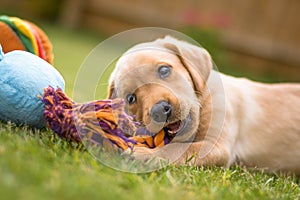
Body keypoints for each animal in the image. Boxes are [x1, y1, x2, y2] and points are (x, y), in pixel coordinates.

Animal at [108, 36, 300, 175]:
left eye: (164, 70)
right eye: (131, 98)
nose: (159, 111)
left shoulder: (217, 146)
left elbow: (178, 149)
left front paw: (143, 154)